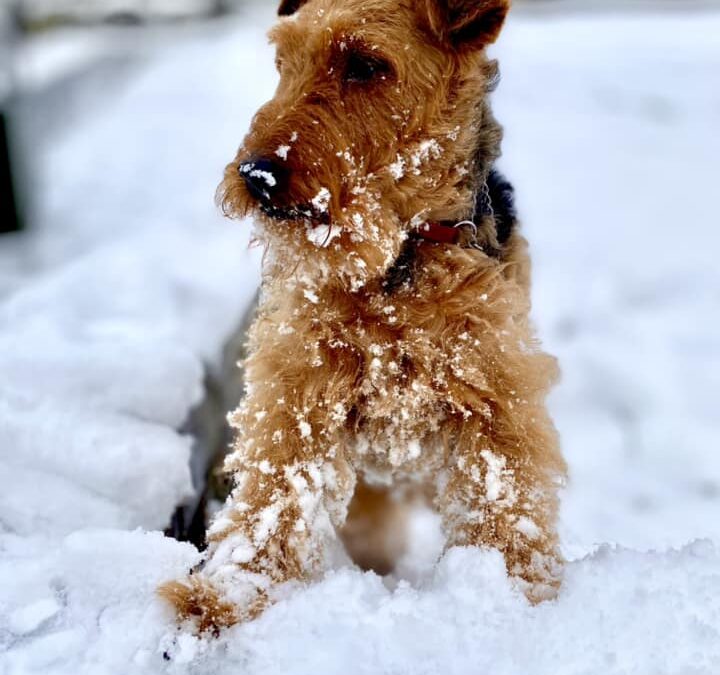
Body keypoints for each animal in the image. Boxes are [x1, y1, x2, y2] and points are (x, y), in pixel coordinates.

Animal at [160, 0, 564, 636]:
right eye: (283, 61)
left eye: (366, 64)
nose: (256, 176)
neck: (401, 257)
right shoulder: (298, 392)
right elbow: (273, 497)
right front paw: (223, 599)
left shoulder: (495, 396)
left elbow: (504, 503)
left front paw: (509, 597)